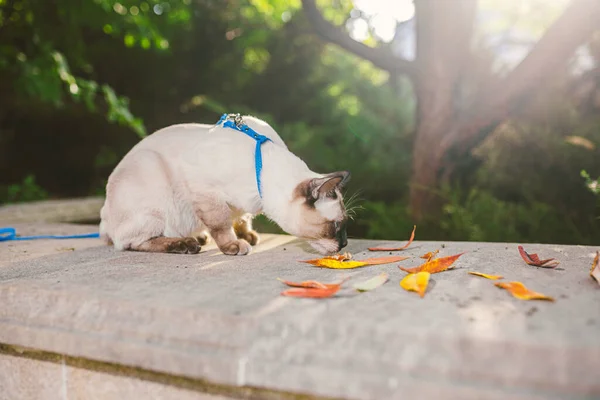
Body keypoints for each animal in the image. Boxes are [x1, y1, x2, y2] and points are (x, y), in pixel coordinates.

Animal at [99, 114, 352, 255]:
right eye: (336, 226)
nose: (345, 244)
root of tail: (104, 214)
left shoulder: (238, 205)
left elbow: (241, 218)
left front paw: (247, 235)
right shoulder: (205, 189)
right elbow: (221, 222)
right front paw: (233, 245)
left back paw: (200, 237)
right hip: (151, 175)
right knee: (130, 242)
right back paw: (185, 244)